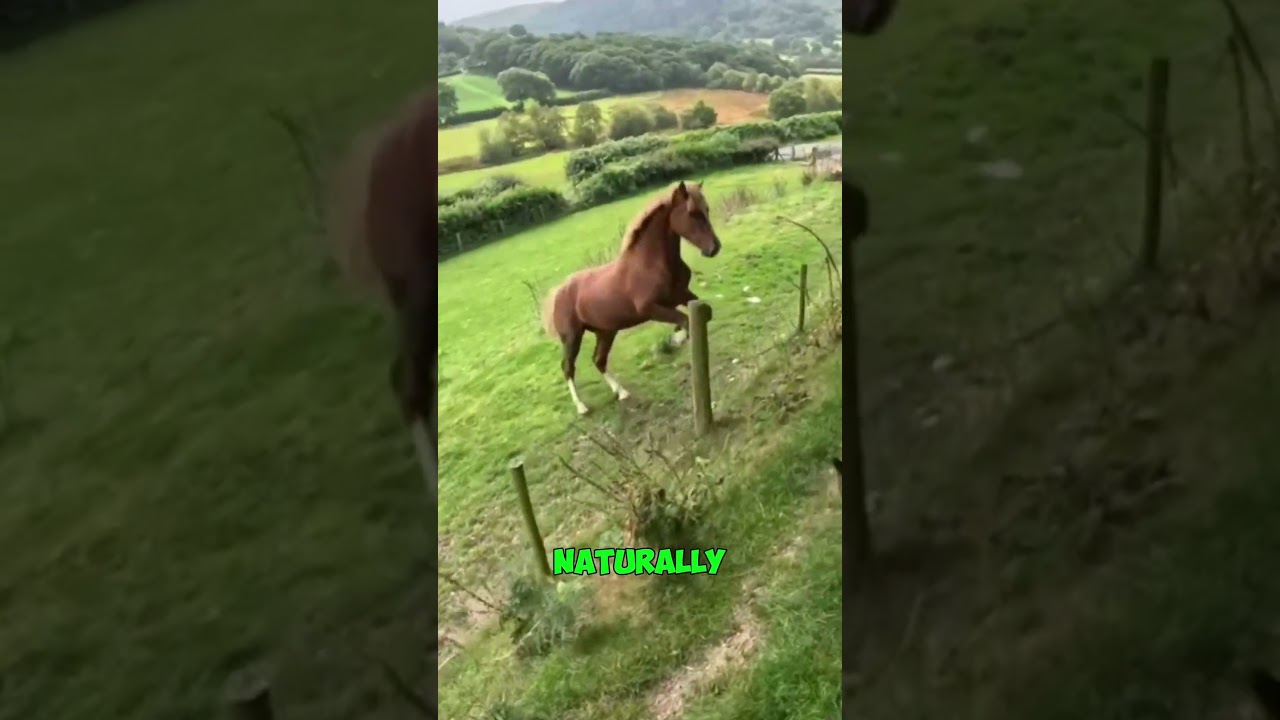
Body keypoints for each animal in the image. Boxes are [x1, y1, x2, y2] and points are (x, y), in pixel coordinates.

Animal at [540, 181, 721, 415]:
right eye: (692, 212)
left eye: (706, 209)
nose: (714, 248)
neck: (651, 263)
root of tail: (559, 291)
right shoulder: (650, 308)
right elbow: (685, 320)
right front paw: (675, 340)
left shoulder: (680, 295)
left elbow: (701, 314)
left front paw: (676, 337)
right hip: (572, 337)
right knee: (568, 367)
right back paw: (581, 407)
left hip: (606, 331)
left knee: (598, 360)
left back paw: (622, 392)